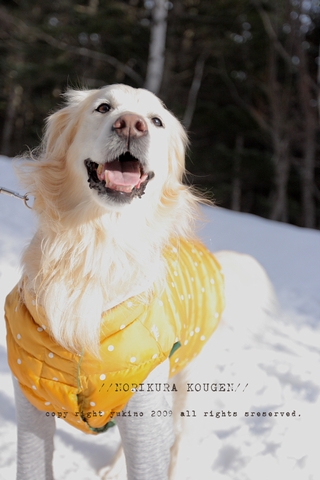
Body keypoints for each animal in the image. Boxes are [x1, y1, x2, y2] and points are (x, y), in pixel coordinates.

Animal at [4, 84, 276, 478]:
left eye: (156, 120)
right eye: (103, 107)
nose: (131, 124)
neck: (96, 244)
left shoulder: (146, 407)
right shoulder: (31, 402)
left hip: (189, 379)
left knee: (178, 438)